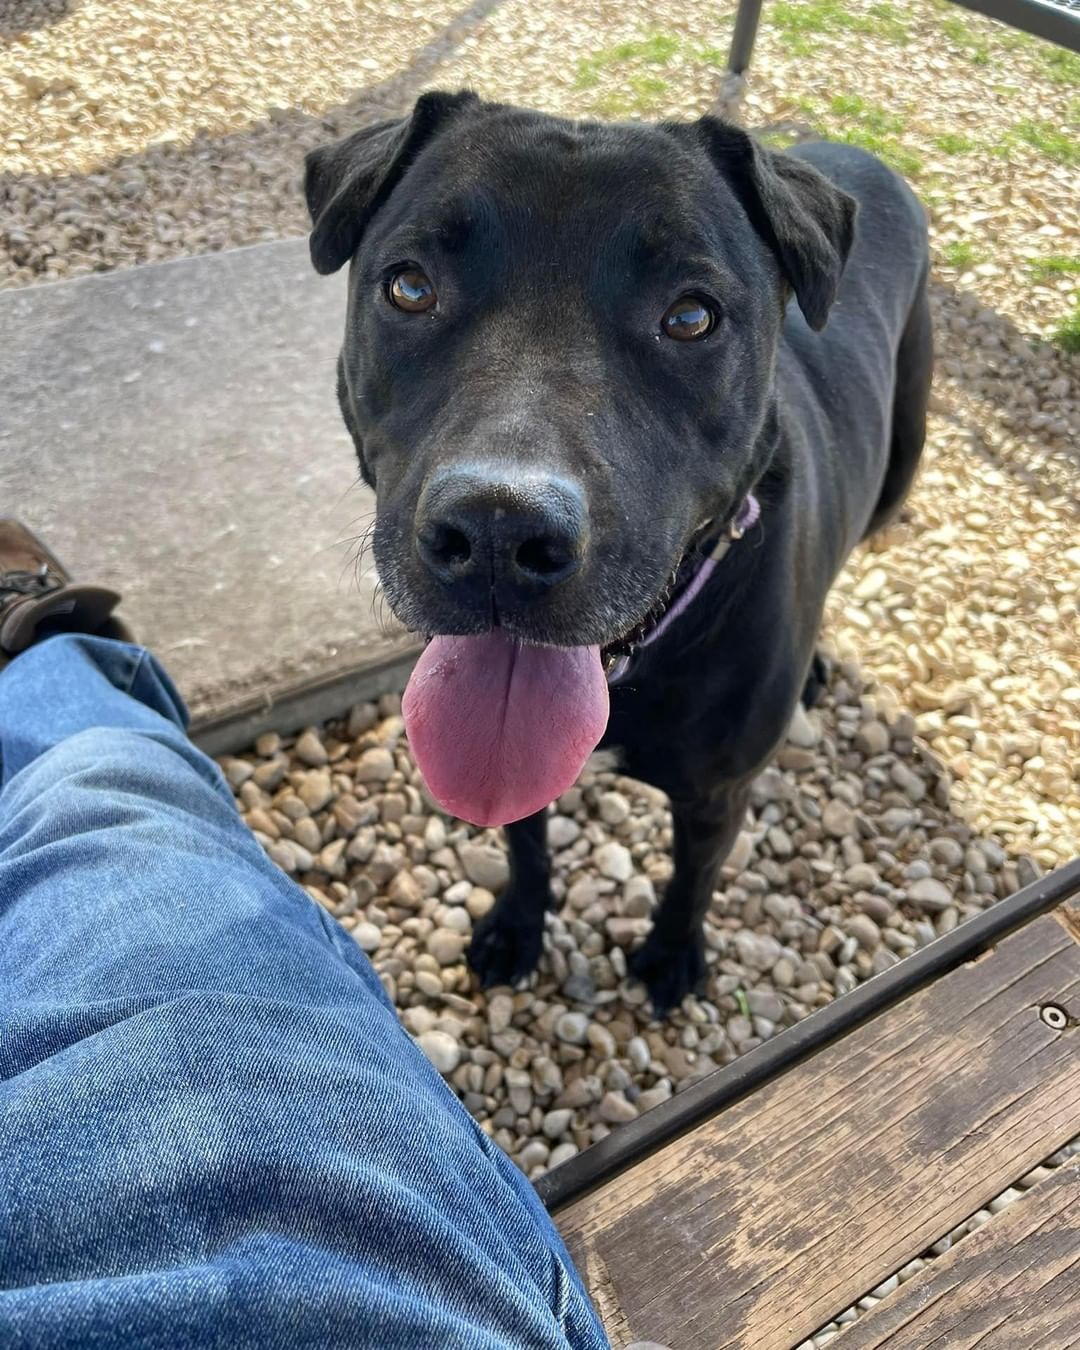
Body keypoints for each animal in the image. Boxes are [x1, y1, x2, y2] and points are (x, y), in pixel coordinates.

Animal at [301, 92, 928, 1015]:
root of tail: (862, 156)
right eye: (410, 287)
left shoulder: (717, 794)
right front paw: (516, 927)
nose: (499, 530)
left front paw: (671, 956)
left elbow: (693, 880)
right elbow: (526, 845)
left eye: (692, 316)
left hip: (900, 462)